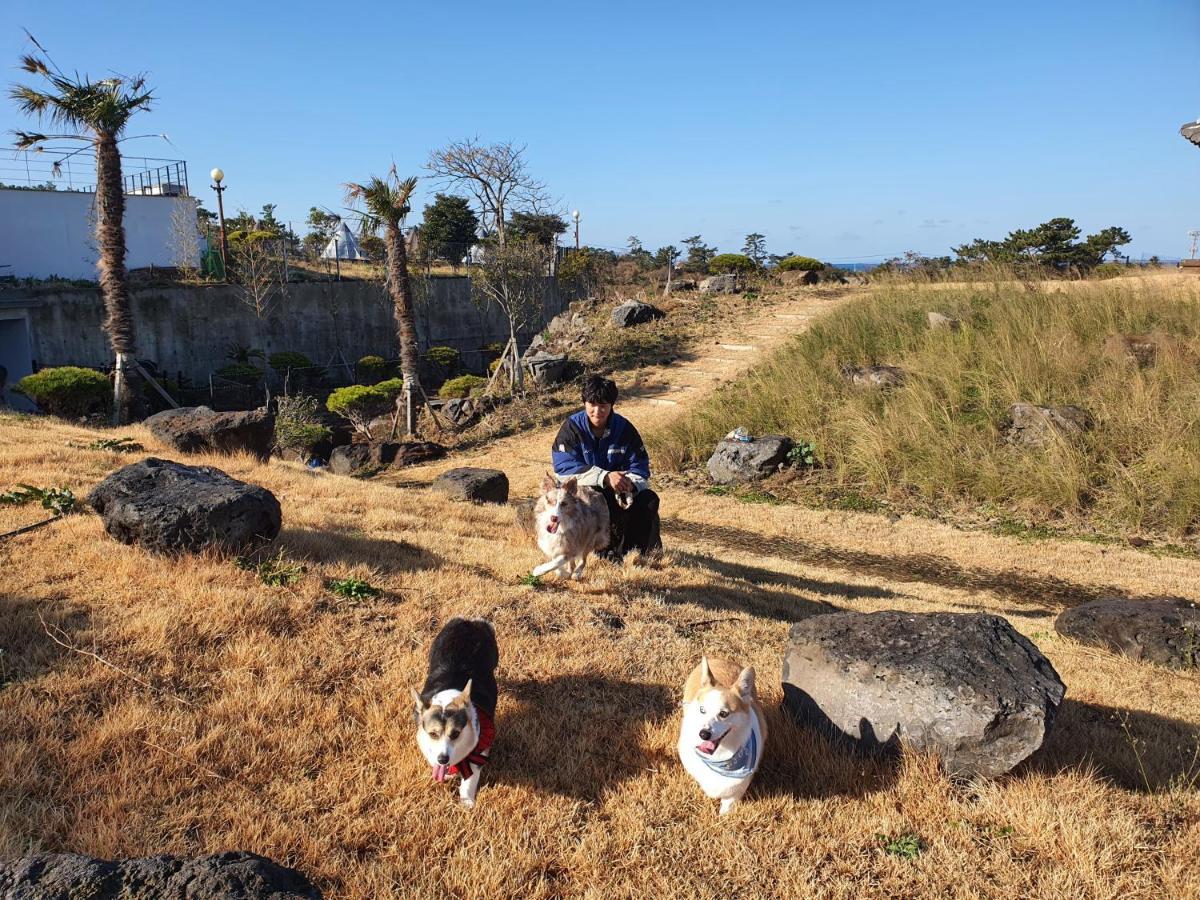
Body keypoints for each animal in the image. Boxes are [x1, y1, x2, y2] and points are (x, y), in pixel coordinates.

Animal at [410, 619, 499, 811]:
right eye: (433, 734)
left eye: (456, 733)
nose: (443, 759)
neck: (447, 699)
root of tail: (469, 622)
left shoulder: (479, 748)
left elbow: (470, 778)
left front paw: (467, 802)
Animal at [676, 657, 768, 816]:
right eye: (702, 710)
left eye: (724, 714)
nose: (703, 734)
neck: (719, 758)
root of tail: (718, 658)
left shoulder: (736, 791)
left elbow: (727, 807)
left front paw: (722, 819)